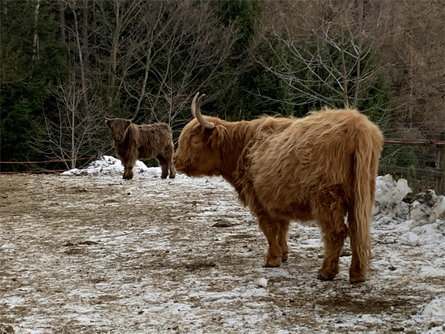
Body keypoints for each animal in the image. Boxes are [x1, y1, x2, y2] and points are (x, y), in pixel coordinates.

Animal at [173, 92, 382, 284]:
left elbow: (268, 229)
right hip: (361, 195)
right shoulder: (277, 198)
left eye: (194, 141)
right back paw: (357, 274)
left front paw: (272, 259)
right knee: (357, 230)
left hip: (327, 197)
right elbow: (282, 227)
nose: (175, 160)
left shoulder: (258, 199)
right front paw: (284, 254)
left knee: (337, 232)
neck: (242, 147)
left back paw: (326, 272)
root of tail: (354, 124)